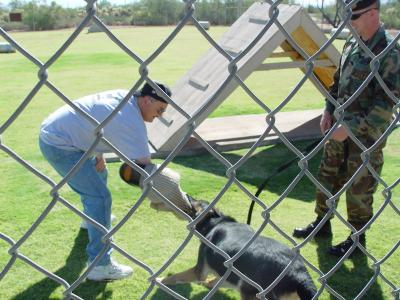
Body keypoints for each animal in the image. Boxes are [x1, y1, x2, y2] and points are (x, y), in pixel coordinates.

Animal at [161, 198, 318, 298]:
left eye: (194, 203)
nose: (186, 195)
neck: (217, 221)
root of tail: (299, 274)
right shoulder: (231, 277)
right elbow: (214, 282)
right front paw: (208, 284)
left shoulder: (200, 270)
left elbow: (175, 277)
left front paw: (161, 279)